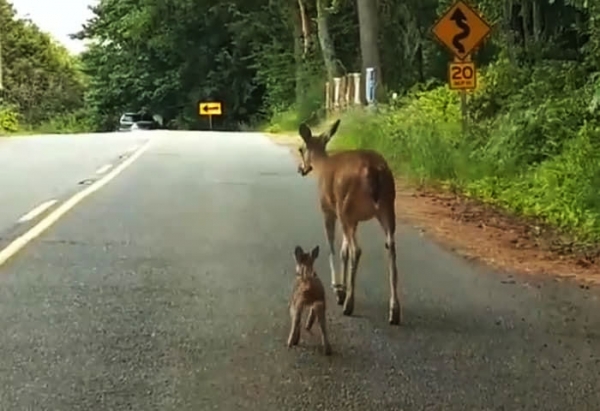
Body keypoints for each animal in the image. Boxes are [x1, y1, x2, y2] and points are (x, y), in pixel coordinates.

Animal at [292, 119, 400, 326]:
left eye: (301, 149)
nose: (301, 169)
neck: (322, 165)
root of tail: (373, 170)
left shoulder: (328, 210)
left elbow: (332, 248)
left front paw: (338, 289)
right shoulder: (354, 219)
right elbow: (343, 252)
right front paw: (341, 289)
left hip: (346, 208)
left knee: (356, 250)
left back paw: (349, 303)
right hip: (387, 206)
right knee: (390, 246)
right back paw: (394, 311)